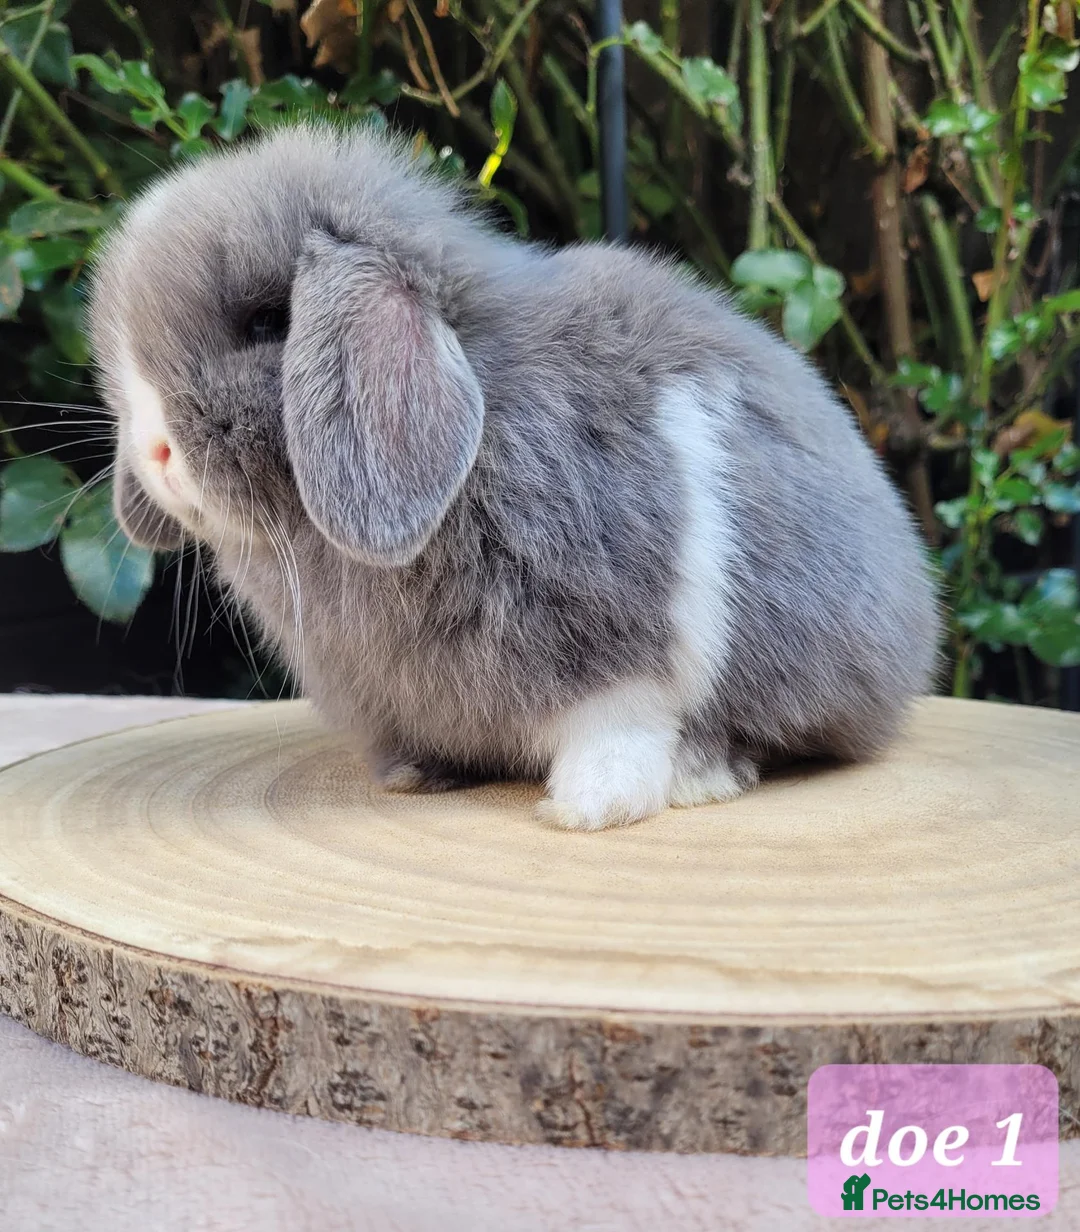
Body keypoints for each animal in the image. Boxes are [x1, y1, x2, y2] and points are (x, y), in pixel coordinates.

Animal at [88, 122, 940, 831]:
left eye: (269, 322)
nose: (155, 451)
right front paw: (415, 775)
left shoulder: (625, 648)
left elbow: (619, 727)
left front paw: (586, 810)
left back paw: (700, 774)